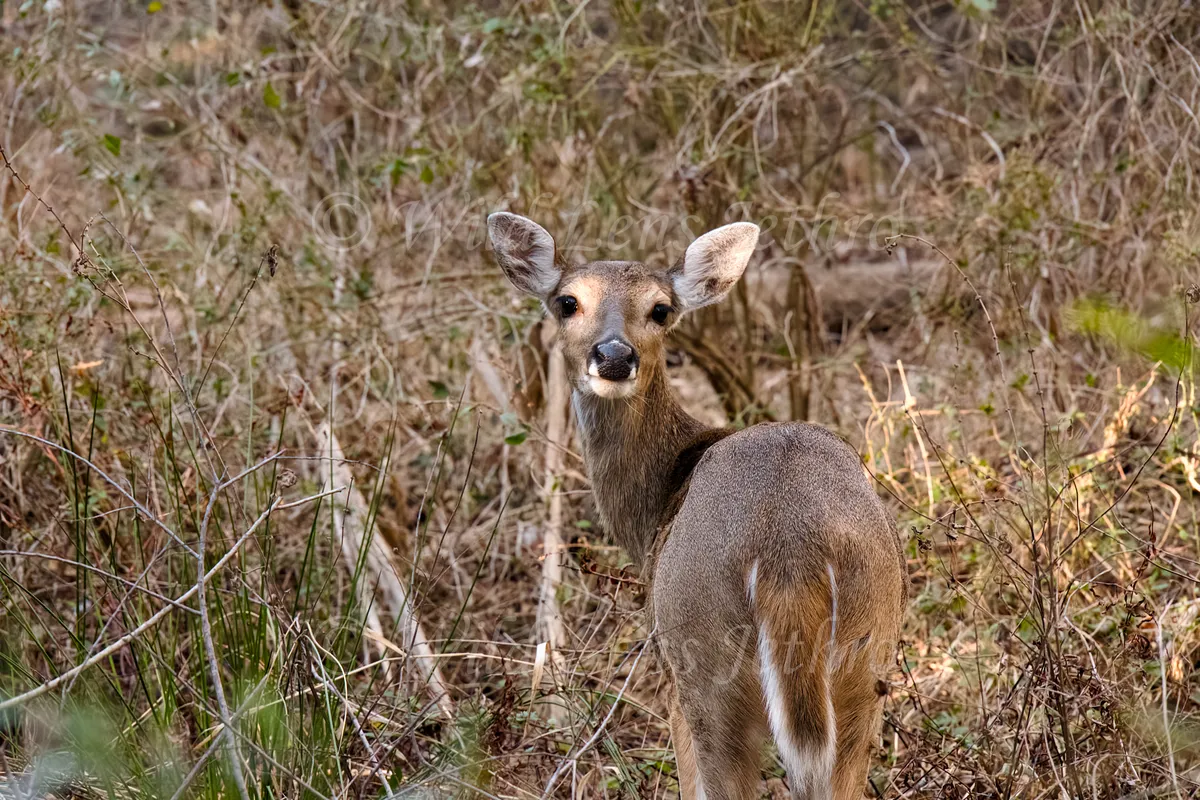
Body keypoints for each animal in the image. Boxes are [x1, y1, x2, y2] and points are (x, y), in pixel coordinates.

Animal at [487, 212, 907, 800]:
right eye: (567, 301)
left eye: (661, 309)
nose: (614, 357)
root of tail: (790, 551)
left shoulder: (668, 671)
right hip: (868, 658)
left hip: (702, 665)